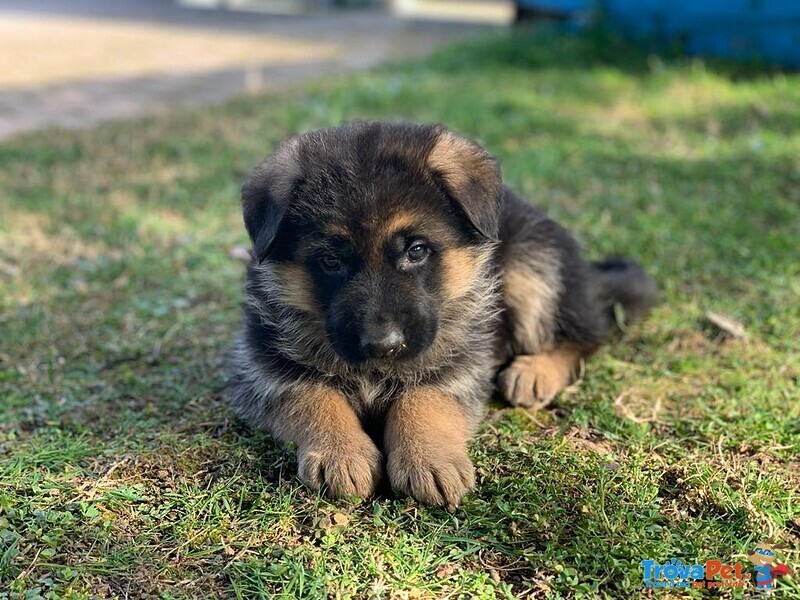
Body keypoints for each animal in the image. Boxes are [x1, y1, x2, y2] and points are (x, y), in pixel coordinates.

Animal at [227, 120, 656, 506]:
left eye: (417, 251)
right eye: (331, 261)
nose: (383, 346)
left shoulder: (462, 357)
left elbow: (425, 395)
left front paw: (428, 455)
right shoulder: (265, 365)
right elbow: (311, 394)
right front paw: (341, 452)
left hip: (533, 264)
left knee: (587, 335)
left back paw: (534, 372)